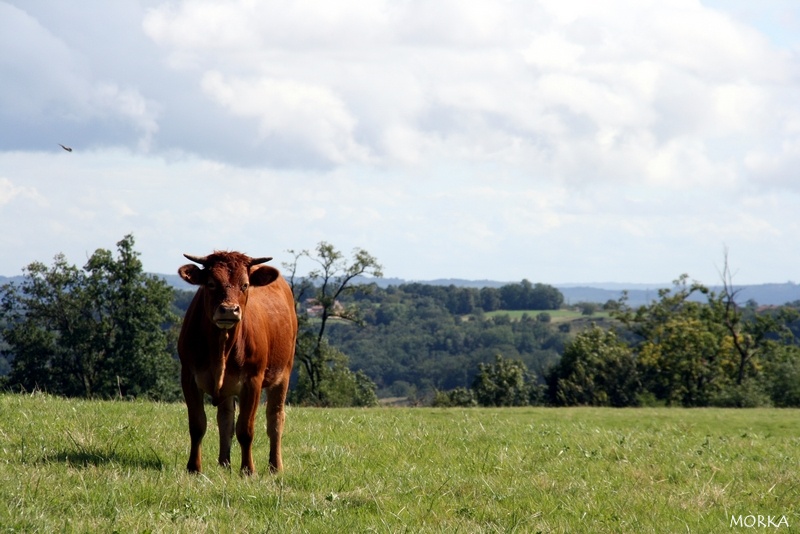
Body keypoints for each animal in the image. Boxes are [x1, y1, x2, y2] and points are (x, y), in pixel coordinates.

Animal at [178, 252, 296, 478]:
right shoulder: (188, 377)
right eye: (211, 283)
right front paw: (193, 467)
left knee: (275, 418)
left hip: (284, 373)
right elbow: (197, 425)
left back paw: (275, 466)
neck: (221, 346)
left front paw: (248, 469)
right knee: (225, 419)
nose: (229, 310)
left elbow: (246, 429)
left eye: (245, 284)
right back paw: (224, 463)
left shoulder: (252, 381)